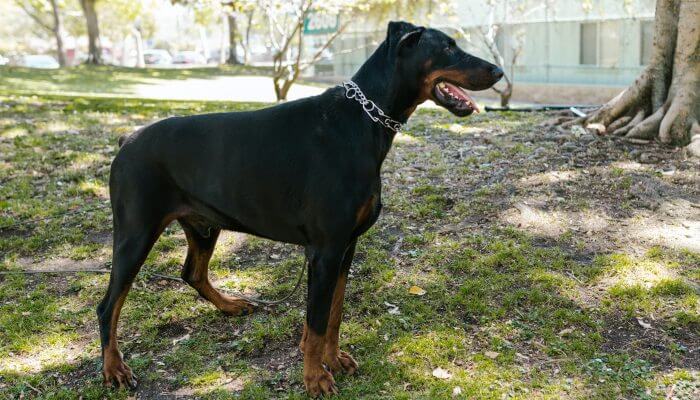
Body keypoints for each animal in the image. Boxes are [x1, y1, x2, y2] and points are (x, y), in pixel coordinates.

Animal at [100, 20, 504, 396]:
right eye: (448, 48)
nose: (498, 71)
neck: (363, 121)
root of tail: (127, 140)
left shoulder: (346, 247)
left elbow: (333, 316)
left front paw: (333, 360)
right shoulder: (324, 251)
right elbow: (316, 321)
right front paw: (315, 378)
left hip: (204, 224)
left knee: (192, 273)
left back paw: (230, 305)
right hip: (136, 232)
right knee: (108, 306)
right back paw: (114, 369)